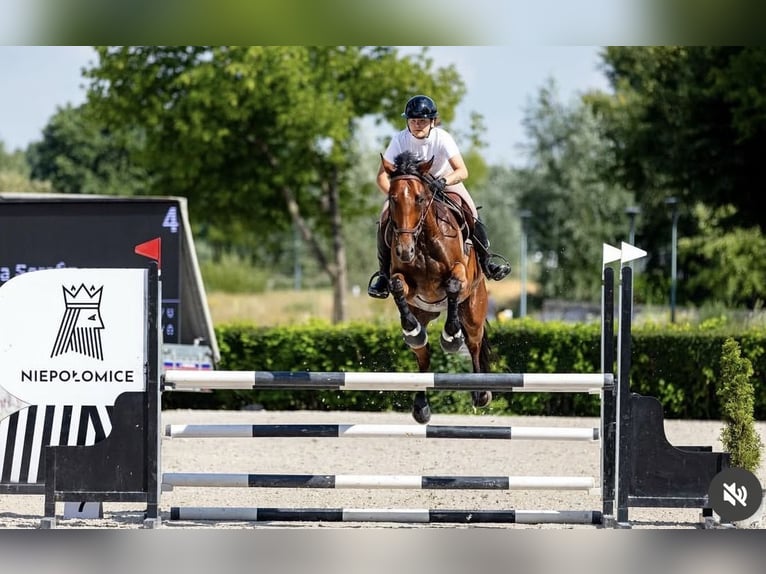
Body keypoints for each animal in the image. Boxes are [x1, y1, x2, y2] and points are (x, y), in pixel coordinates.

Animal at [381, 151, 492, 424]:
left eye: (420, 198)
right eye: (392, 199)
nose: (404, 250)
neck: (422, 240)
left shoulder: (460, 275)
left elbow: (453, 285)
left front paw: (451, 336)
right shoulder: (408, 284)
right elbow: (397, 285)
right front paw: (411, 327)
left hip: (473, 309)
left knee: (474, 344)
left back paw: (480, 393)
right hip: (424, 312)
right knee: (423, 354)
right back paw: (421, 405)